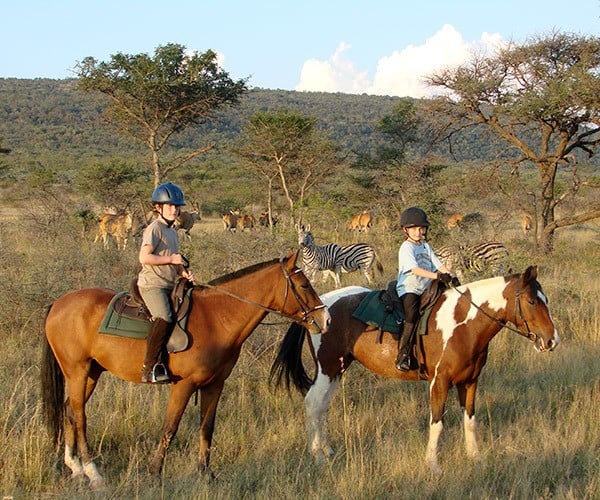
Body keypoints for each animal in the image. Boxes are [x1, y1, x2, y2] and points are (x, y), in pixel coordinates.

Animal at [41, 249, 332, 488]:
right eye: (304, 285)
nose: (326, 319)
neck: (217, 319)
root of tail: (57, 304)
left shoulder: (214, 384)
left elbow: (207, 427)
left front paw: (206, 473)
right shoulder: (184, 385)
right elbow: (170, 428)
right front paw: (154, 472)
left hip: (90, 373)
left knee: (70, 410)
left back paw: (76, 468)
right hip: (77, 372)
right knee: (80, 417)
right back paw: (93, 473)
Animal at [272, 266, 564, 472]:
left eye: (546, 299)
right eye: (532, 302)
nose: (552, 340)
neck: (463, 324)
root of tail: (317, 309)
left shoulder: (470, 382)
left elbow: (470, 421)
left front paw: (476, 458)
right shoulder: (440, 382)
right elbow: (437, 423)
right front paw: (433, 465)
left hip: (337, 370)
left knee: (322, 407)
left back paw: (328, 451)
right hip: (328, 368)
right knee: (313, 404)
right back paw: (318, 456)